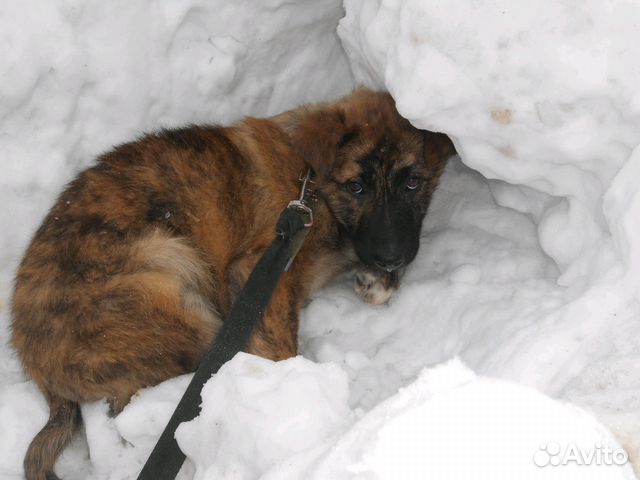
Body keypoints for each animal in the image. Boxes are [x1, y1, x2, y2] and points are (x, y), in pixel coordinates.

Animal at [10, 88, 456, 478]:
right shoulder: (257, 269)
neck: (314, 187)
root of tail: (36, 367)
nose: (390, 256)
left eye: (413, 183)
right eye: (357, 186)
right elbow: (280, 351)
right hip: (168, 270)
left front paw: (376, 279)